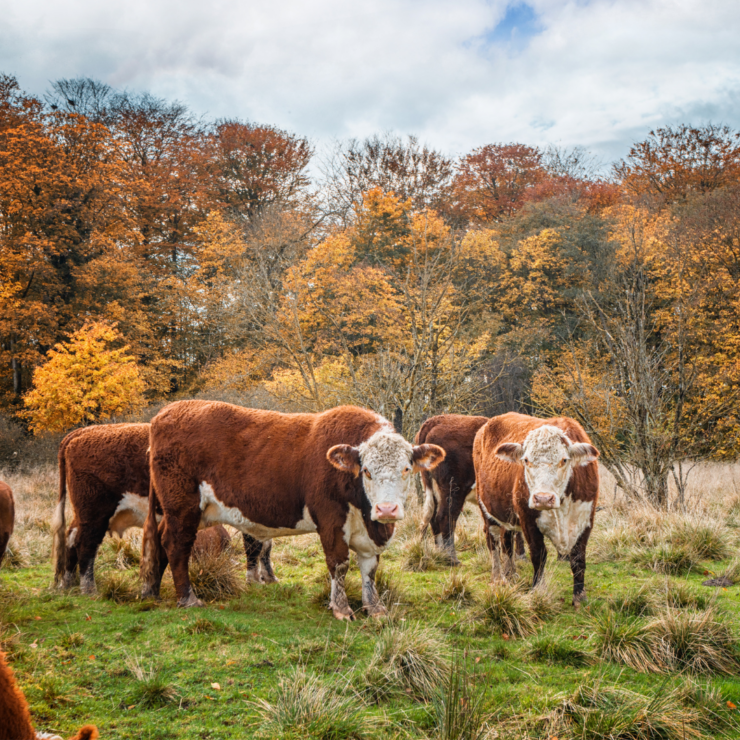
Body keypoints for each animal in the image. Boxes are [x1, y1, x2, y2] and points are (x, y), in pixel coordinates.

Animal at [53, 423, 275, 594]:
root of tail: (81, 433)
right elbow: (255, 545)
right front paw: (254, 580)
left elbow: (266, 546)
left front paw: (269, 577)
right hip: (94, 512)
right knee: (86, 544)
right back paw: (89, 589)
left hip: (83, 513)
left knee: (71, 538)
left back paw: (68, 583)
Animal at [141, 401, 445, 620]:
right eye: (367, 471)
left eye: (406, 469)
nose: (386, 509)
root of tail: (166, 412)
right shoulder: (331, 521)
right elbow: (339, 564)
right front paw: (341, 608)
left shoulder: (371, 533)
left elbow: (369, 569)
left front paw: (375, 608)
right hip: (182, 507)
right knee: (176, 544)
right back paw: (187, 598)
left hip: (172, 510)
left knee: (158, 541)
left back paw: (151, 589)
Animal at [416, 414, 525, 565]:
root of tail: (435, 420)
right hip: (453, 489)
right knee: (445, 517)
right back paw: (451, 557)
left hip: (433, 488)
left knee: (433, 518)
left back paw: (440, 553)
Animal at [473, 412, 599, 606]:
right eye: (526, 460)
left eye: (564, 460)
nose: (543, 498)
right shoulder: (528, 520)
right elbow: (539, 555)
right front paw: (538, 590)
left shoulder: (586, 519)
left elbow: (578, 558)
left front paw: (579, 596)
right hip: (486, 508)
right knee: (493, 541)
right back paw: (498, 578)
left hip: (508, 515)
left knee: (507, 541)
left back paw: (511, 574)